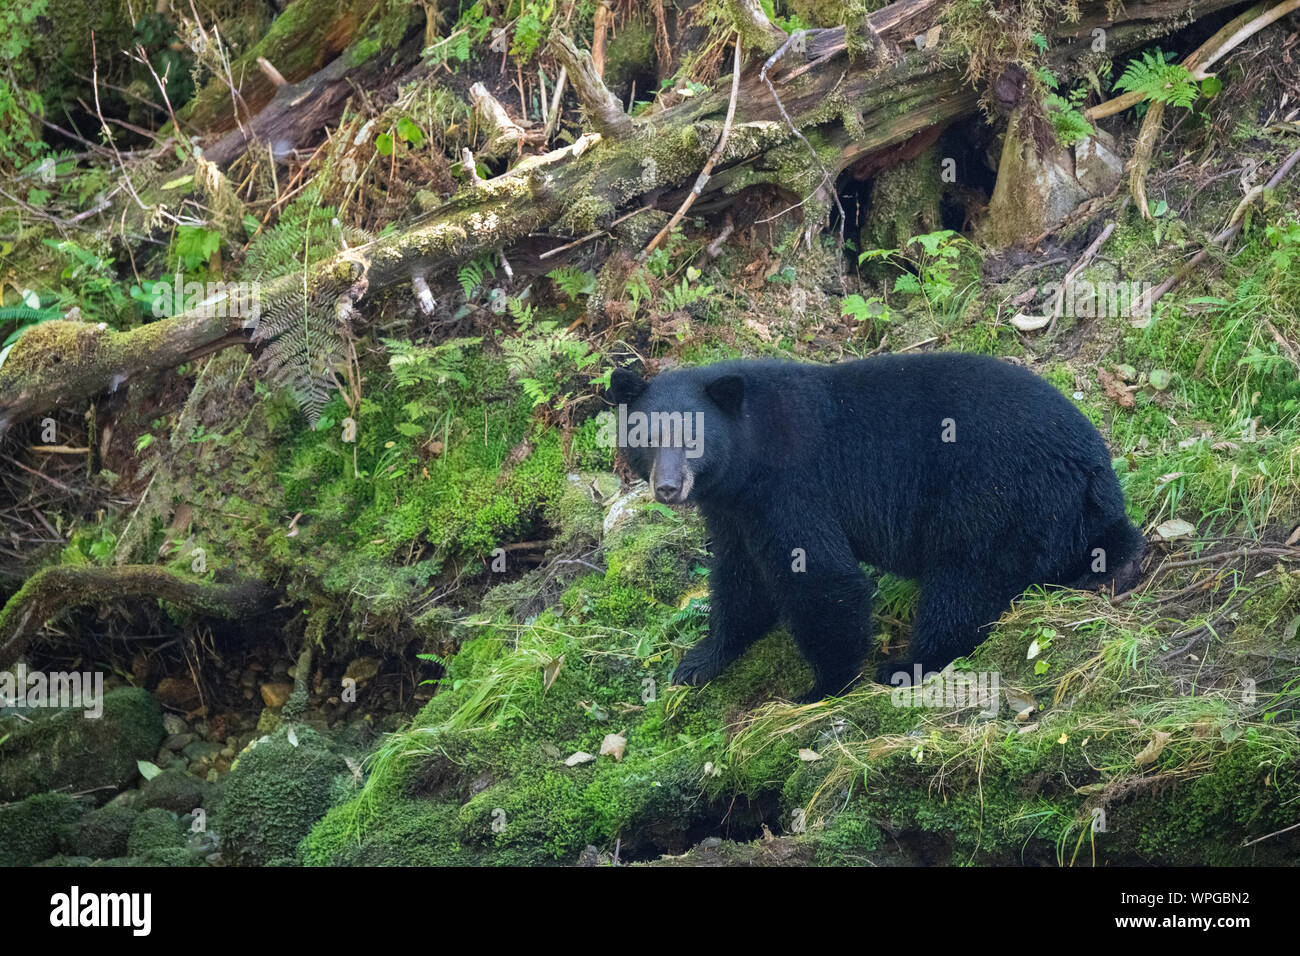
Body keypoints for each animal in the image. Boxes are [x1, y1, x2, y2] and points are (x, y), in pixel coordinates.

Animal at [603, 351, 1144, 702]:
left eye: (692, 439)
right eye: (648, 436)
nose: (668, 487)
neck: (748, 456)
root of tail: (1094, 467)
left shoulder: (792, 487)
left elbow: (818, 574)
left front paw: (822, 687)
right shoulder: (737, 509)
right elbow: (742, 580)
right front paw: (700, 660)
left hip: (994, 499)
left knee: (964, 586)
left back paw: (908, 665)